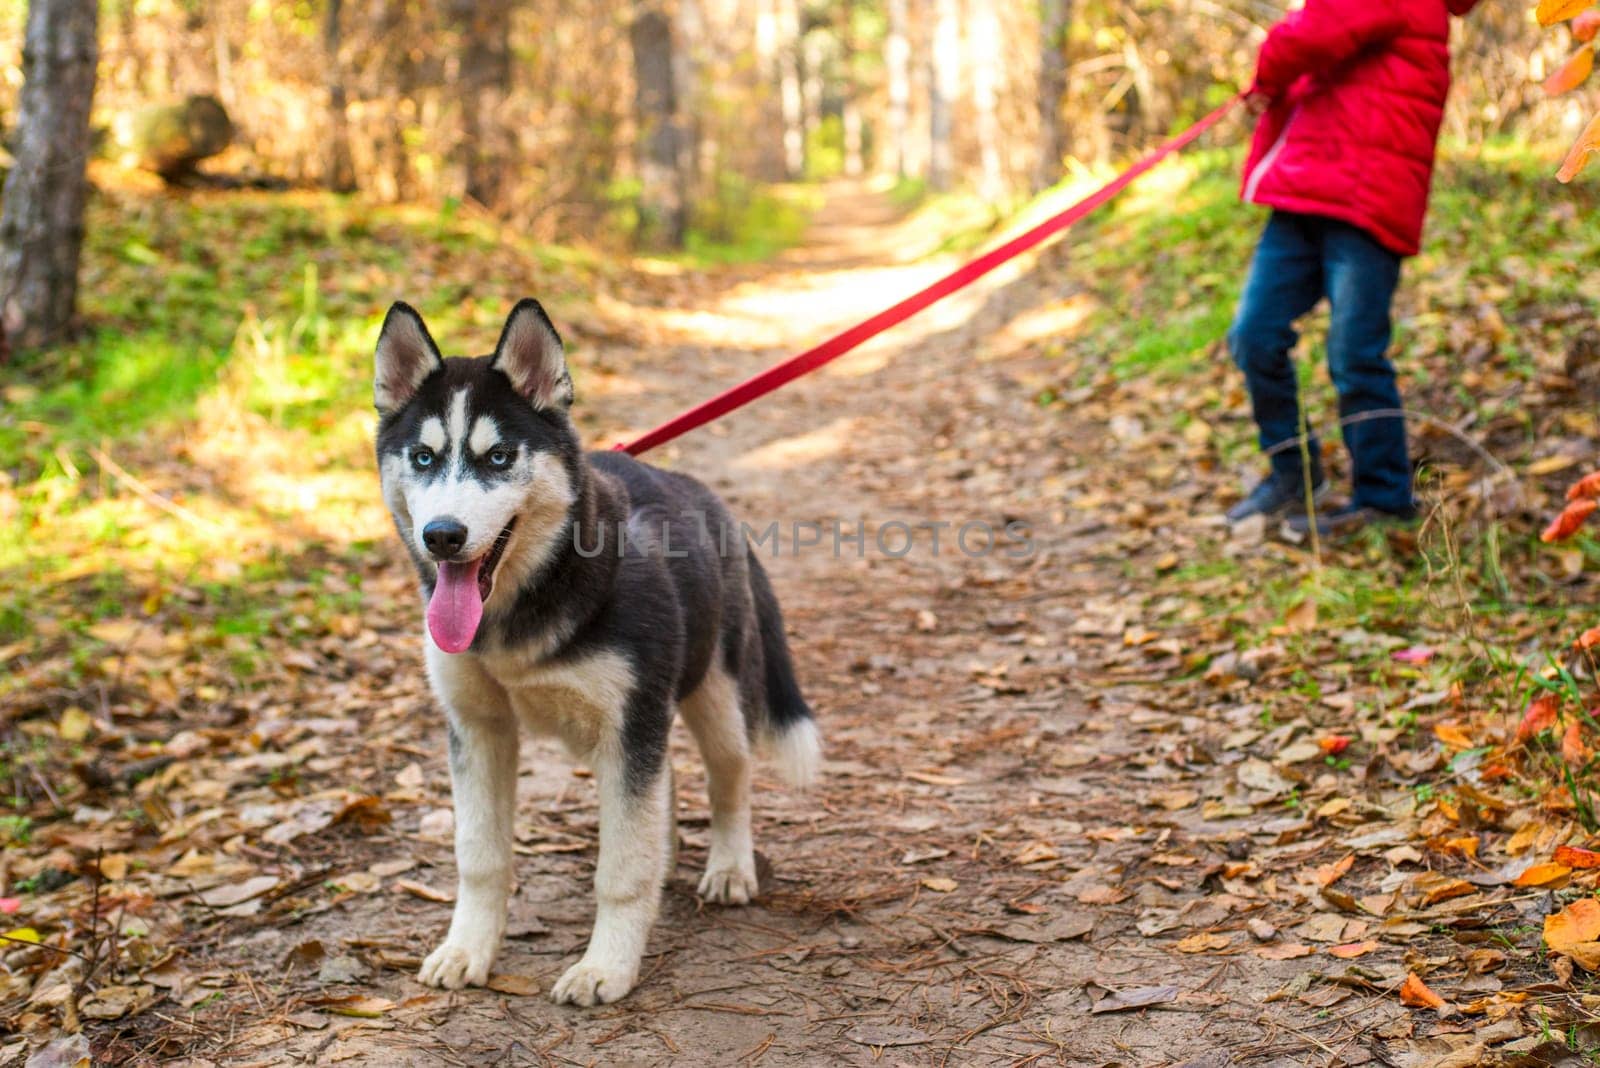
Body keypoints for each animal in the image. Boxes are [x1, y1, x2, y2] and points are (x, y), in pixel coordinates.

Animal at [372, 295, 819, 1004]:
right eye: (421, 457)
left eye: (499, 458)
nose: (442, 535)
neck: (527, 602)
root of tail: (707, 497)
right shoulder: (477, 729)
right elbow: (480, 858)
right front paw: (468, 949)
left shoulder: (630, 726)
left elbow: (622, 869)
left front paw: (606, 966)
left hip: (714, 698)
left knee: (729, 777)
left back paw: (729, 865)